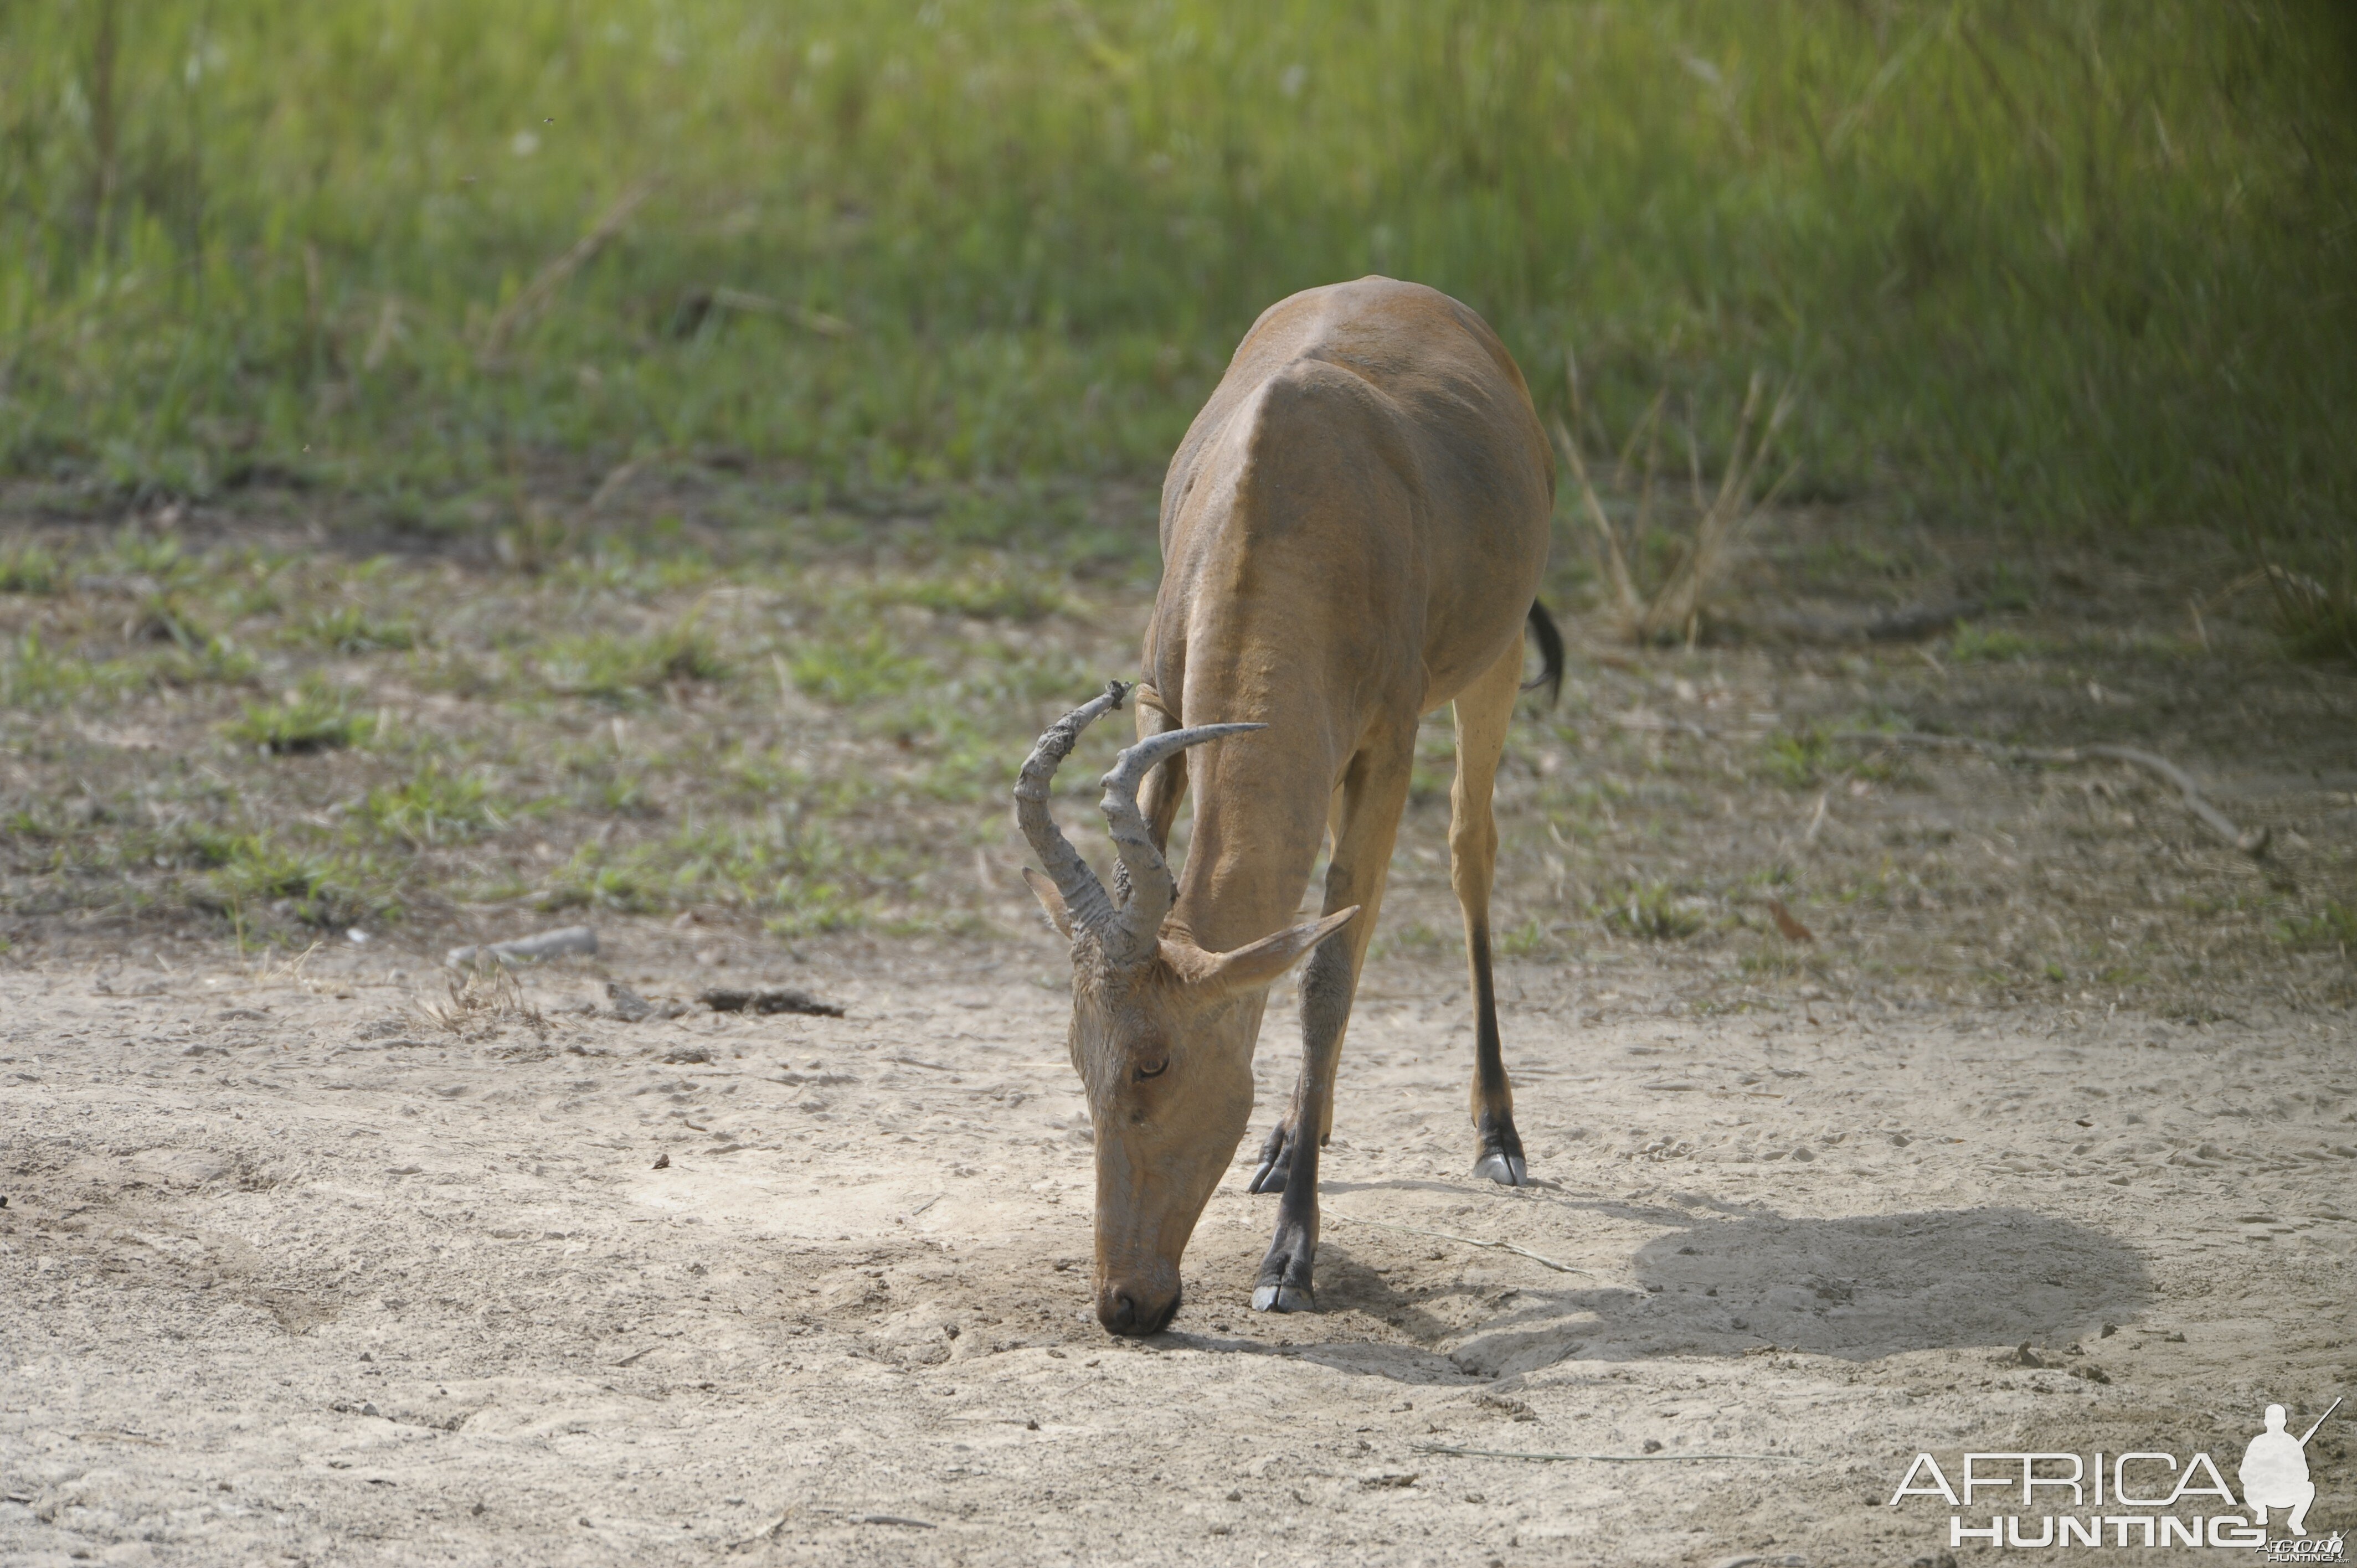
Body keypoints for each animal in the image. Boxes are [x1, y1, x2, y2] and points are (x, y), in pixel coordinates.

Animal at [1018, 278, 1555, 1329]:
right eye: (1077, 1052)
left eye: (1155, 1062)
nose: (1123, 1302)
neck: (1293, 489)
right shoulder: (1164, 707)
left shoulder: (1386, 748)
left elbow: (1326, 977)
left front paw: (1290, 1260)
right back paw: (1287, 1140)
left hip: (1498, 658)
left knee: (1467, 850)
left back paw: (1497, 1135)